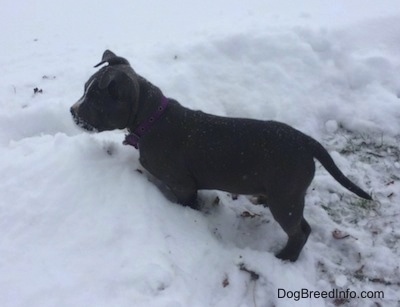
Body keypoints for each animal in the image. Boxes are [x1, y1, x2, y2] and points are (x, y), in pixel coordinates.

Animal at [69, 50, 372, 262]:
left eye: (94, 100)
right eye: (83, 89)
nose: (72, 111)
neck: (152, 118)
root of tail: (306, 142)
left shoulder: (182, 184)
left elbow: (187, 203)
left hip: (285, 199)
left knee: (299, 231)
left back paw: (285, 258)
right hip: (288, 196)